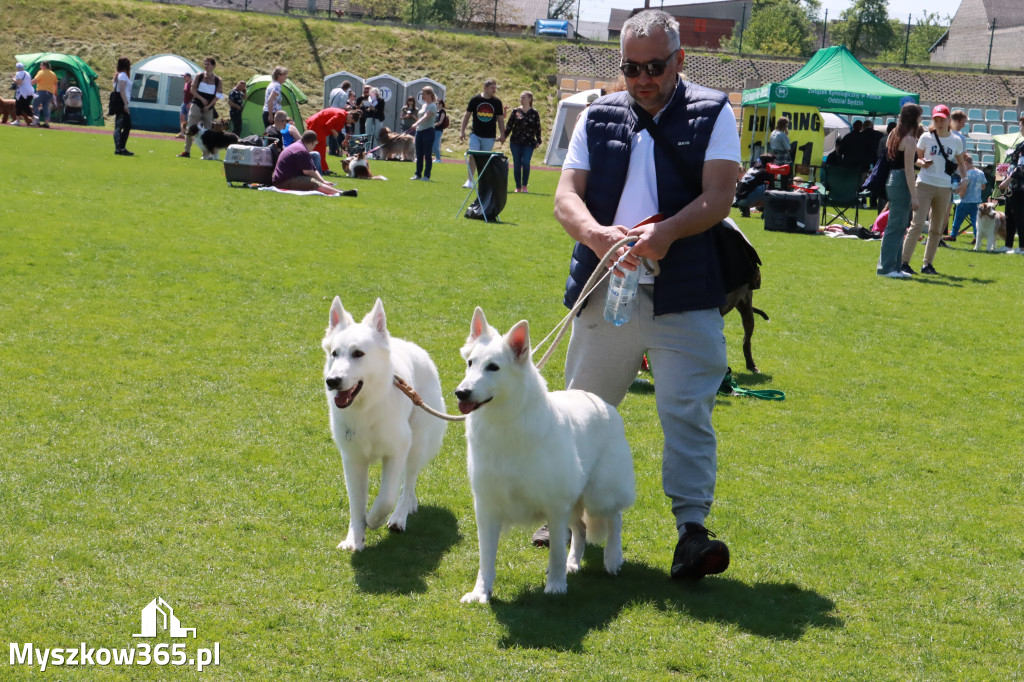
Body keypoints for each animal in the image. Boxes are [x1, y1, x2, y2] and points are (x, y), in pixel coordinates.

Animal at [321, 294, 446, 548]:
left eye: (358, 354)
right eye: (335, 354)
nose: (332, 381)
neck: (366, 408)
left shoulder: (396, 451)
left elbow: (387, 496)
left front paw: (374, 519)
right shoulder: (353, 459)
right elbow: (355, 503)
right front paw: (354, 539)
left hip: (417, 445)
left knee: (408, 482)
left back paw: (400, 515)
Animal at [454, 307, 630, 602]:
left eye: (493, 367)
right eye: (470, 363)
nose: (461, 392)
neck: (506, 424)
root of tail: (602, 402)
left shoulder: (556, 507)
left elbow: (556, 552)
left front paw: (555, 586)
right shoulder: (487, 508)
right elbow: (485, 559)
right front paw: (481, 592)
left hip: (598, 496)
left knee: (614, 518)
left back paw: (613, 559)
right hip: (577, 502)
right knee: (581, 529)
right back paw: (574, 563)